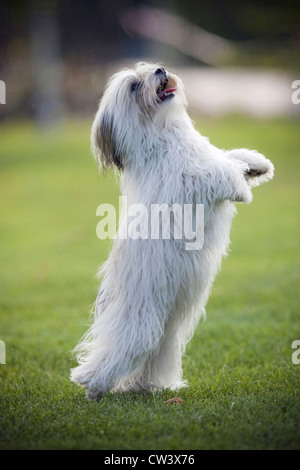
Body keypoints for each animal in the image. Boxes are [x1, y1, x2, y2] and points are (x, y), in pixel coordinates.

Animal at [70, 62, 274, 400]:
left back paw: (148, 385)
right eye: (134, 87)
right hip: (140, 321)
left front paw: (257, 164)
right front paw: (241, 187)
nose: (160, 70)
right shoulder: (187, 182)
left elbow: (227, 155)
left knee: (149, 358)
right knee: (117, 354)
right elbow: (218, 170)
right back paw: (92, 384)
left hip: (167, 331)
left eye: (147, 69)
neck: (163, 134)